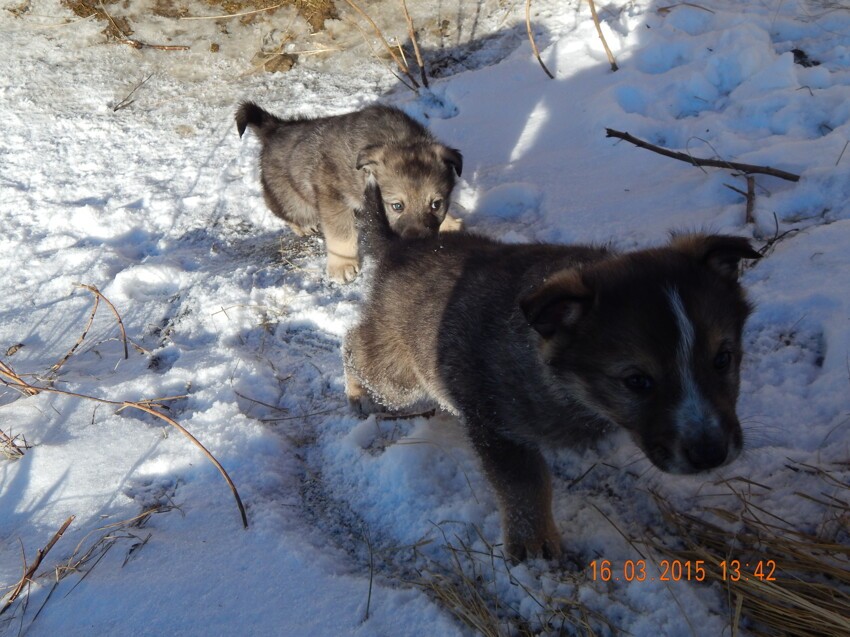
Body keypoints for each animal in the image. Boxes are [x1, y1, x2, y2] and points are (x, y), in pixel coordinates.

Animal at [234, 101, 464, 280]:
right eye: (397, 206)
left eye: (436, 204)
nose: (417, 245)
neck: (397, 139)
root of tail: (275, 128)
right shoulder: (333, 196)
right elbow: (340, 233)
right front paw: (342, 264)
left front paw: (450, 223)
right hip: (292, 200)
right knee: (282, 209)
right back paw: (304, 226)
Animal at [342, 180, 760, 560]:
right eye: (636, 381)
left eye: (722, 359)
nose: (710, 454)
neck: (569, 390)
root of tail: (399, 247)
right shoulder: (494, 421)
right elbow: (523, 484)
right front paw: (533, 542)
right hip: (399, 380)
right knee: (355, 342)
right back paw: (358, 391)